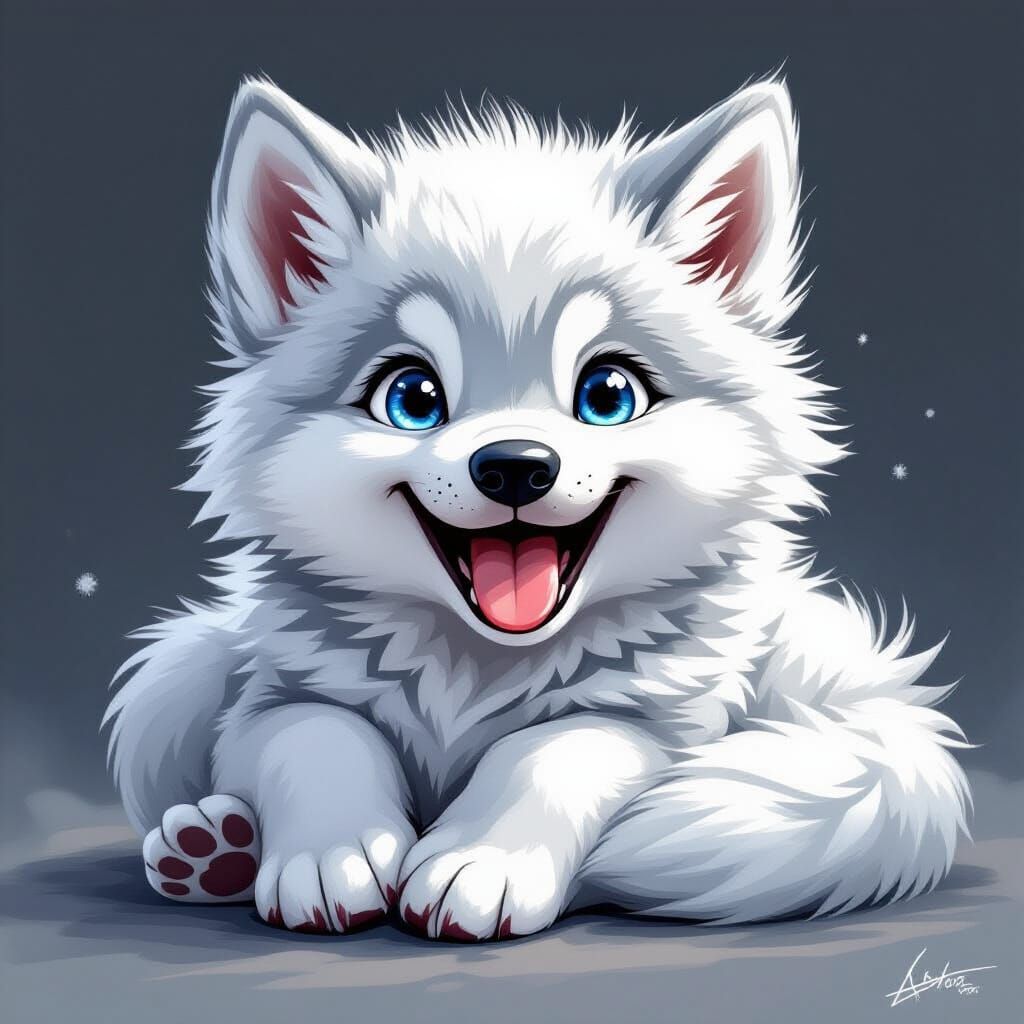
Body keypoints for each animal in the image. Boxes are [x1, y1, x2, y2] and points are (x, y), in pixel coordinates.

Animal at [103, 76, 970, 939]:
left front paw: (481, 857)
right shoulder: (271, 693)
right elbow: (319, 734)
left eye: (608, 395)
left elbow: (556, 746)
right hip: (171, 681)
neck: (478, 669)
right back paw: (214, 850)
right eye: (412, 398)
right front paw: (333, 850)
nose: (515, 468)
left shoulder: (664, 722)